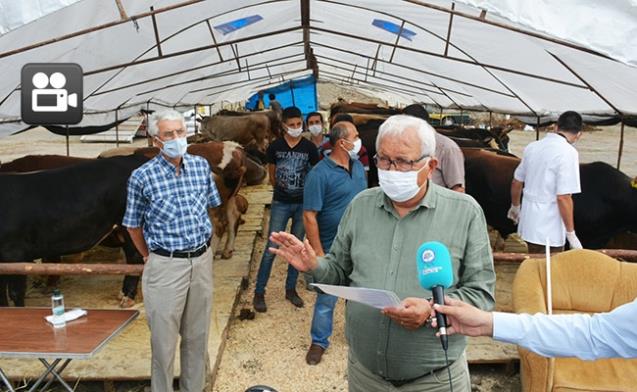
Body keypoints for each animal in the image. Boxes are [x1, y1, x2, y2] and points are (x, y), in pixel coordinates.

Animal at [0, 154, 147, 306]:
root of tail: (135, 157)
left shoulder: (15, 254)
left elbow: (15, 292)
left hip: (130, 228)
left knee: (135, 258)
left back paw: (127, 297)